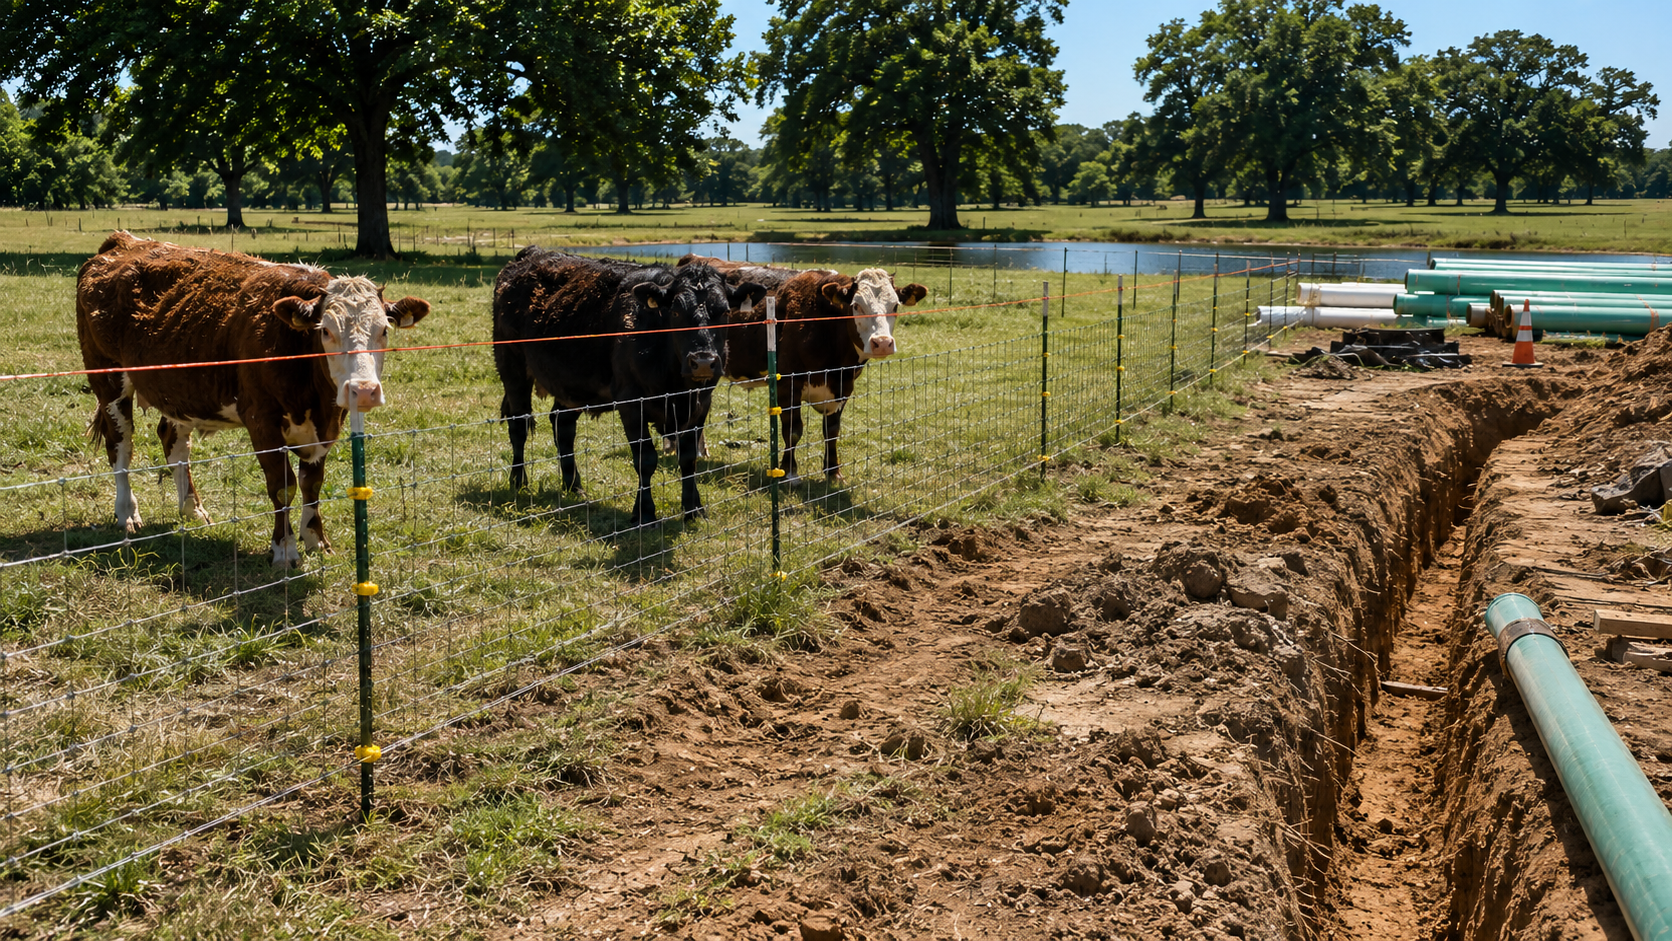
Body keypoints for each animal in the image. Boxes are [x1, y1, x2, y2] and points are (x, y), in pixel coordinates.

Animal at [75, 231, 432, 568]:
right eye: (326, 330)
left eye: (383, 330)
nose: (364, 390)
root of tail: (122, 242)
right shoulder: (262, 422)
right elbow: (283, 486)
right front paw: (285, 550)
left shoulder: (327, 426)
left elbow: (312, 484)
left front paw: (317, 540)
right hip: (108, 377)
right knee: (121, 444)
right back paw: (127, 513)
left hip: (180, 390)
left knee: (173, 441)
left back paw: (192, 509)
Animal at [492, 249, 766, 525]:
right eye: (676, 313)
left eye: (725, 312)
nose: (702, 362)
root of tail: (531, 254)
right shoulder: (632, 404)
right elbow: (645, 459)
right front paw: (644, 513)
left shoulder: (701, 404)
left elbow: (689, 459)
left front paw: (694, 510)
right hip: (511, 365)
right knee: (519, 425)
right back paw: (519, 482)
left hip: (572, 383)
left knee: (563, 426)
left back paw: (574, 486)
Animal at [681, 255, 926, 483]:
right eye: (856, 305)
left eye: (895, 306)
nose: (882, 343)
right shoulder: (788, 383)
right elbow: (793, 430)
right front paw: (790, 473)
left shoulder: (844, 387)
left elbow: (832, 430)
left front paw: (834, 472)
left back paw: (701, 451)